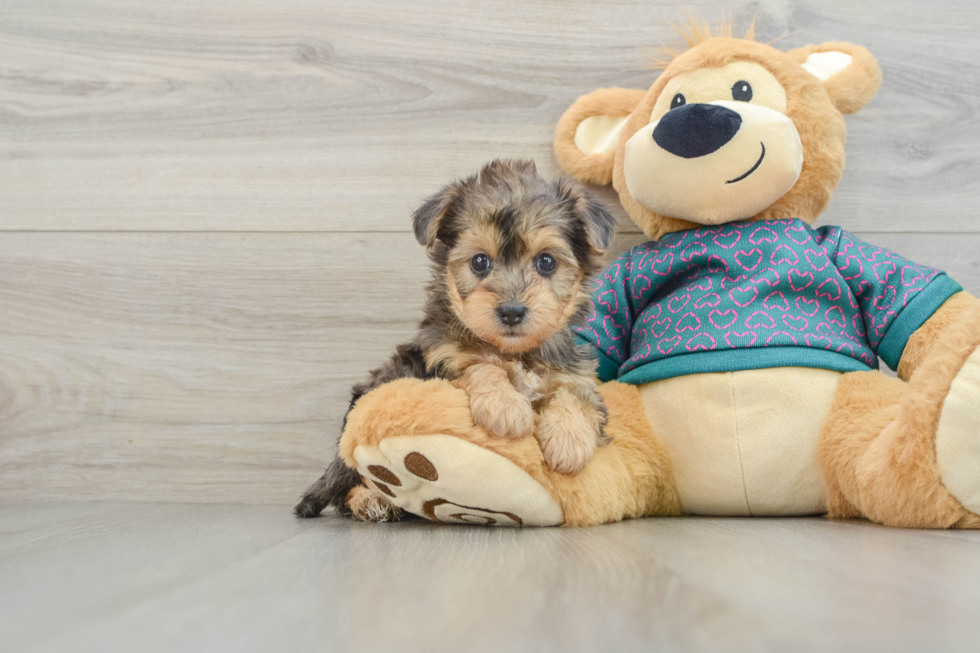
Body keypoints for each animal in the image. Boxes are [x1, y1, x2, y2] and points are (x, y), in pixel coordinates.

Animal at [294, 157, 616, 520]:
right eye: (479, 261)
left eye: (546, 262)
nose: (511, 311)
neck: (514, 352)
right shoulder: (440, 358)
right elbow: (477, 364)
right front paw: (505, 407)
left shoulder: (574, 374)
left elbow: (574, 396)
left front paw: (569, 441)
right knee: (348, 483)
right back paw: (370, 501)